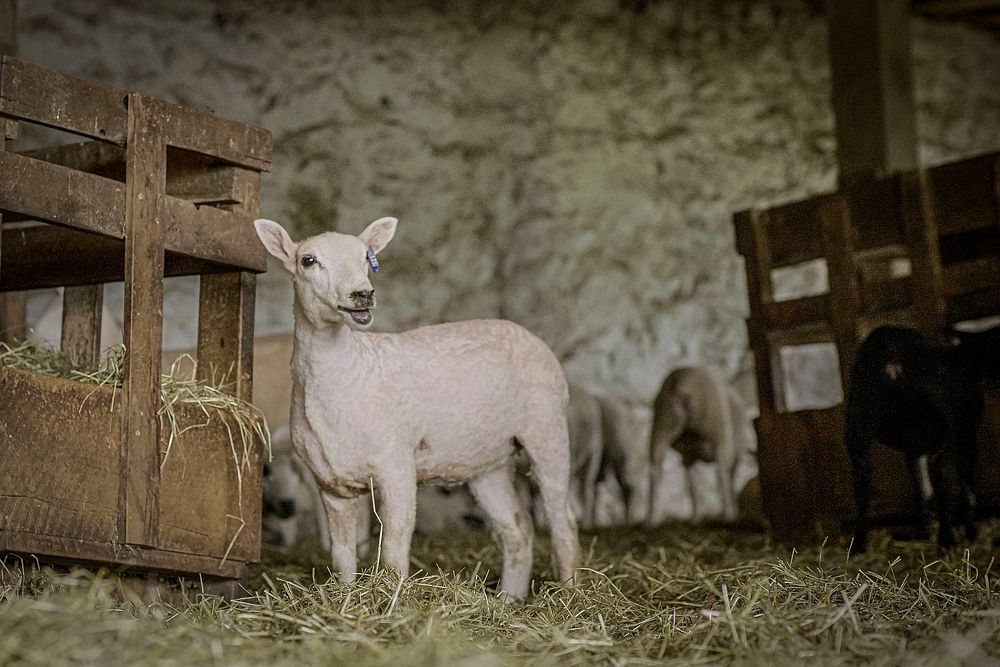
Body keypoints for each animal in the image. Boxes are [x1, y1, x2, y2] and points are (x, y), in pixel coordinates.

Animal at [844, 328, 984, 552]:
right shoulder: (961, 434)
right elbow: (963, 483)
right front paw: (968, 530)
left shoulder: (914, 447)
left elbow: (922, 488)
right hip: (946, 429)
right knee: (945, 479)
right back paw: (947, 538)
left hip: (858, 425)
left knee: (862, 482)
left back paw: (859, 544)